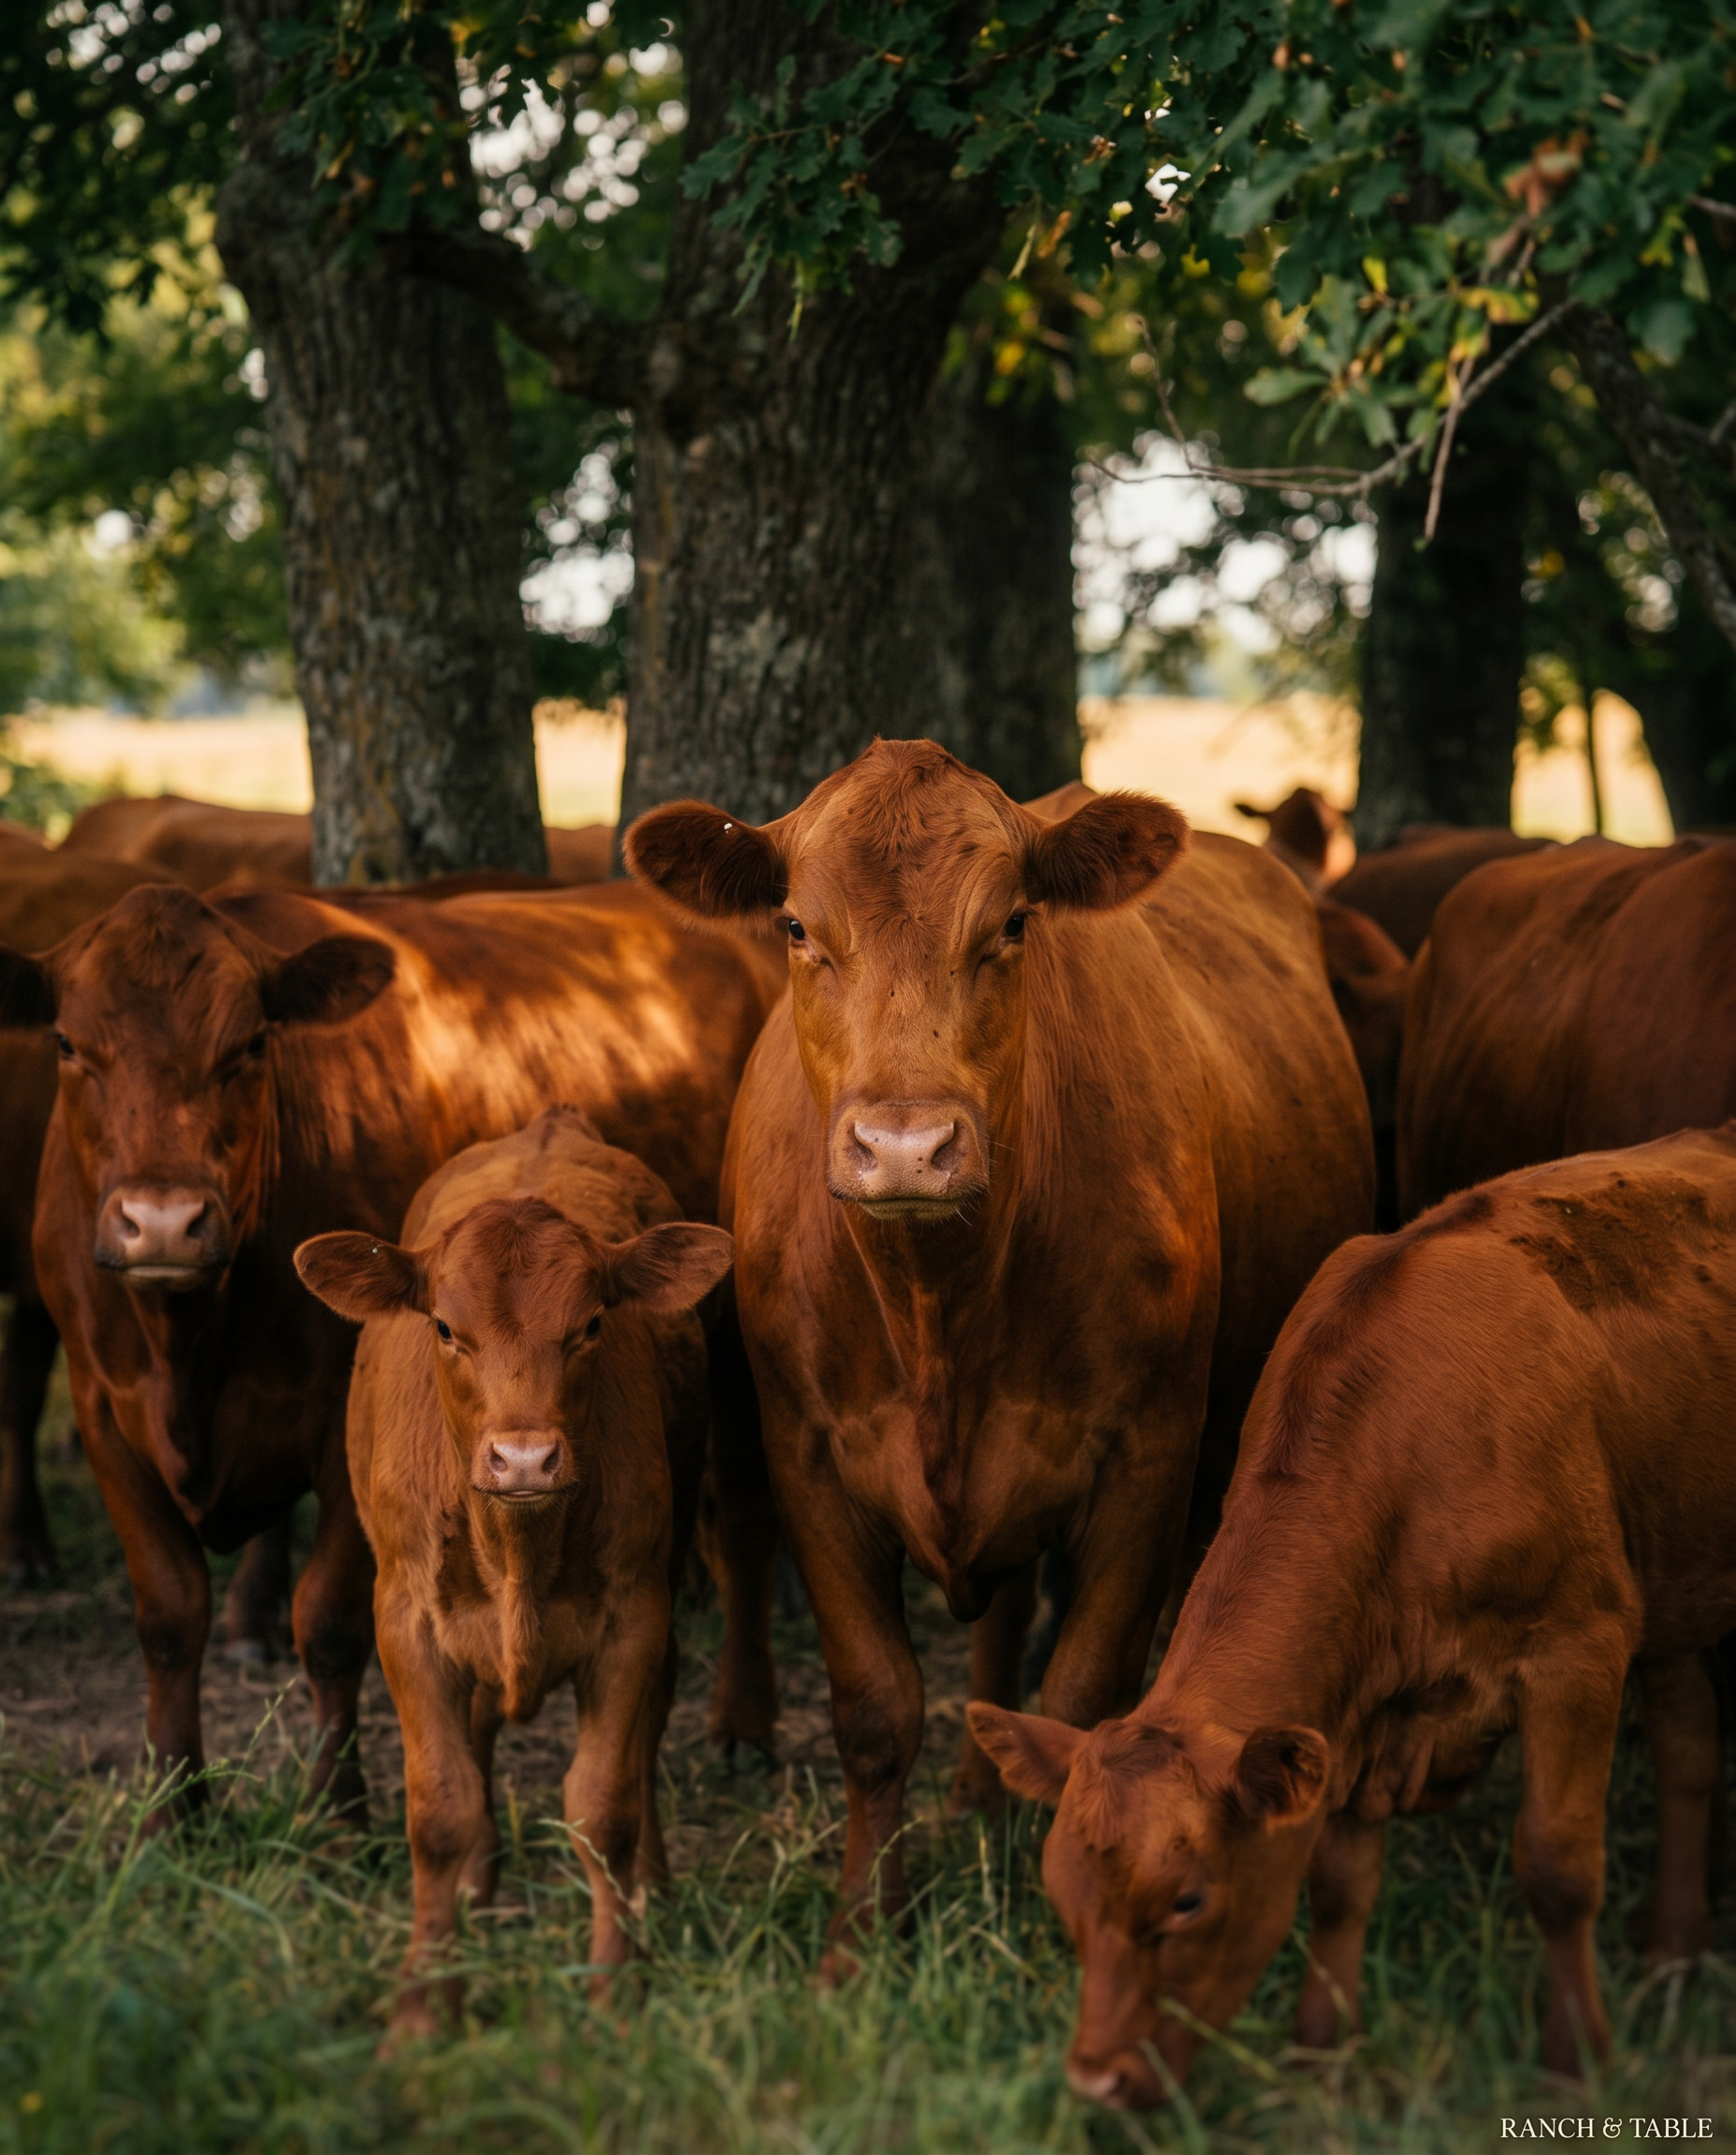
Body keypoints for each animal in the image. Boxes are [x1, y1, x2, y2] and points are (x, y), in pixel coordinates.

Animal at [0, 878, 777, 1817]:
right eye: (68, 1044)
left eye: (251, 1043)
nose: (161, 1221)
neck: (189, 1341)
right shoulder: (102, 1409)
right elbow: (169, 1617)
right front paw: (173, 1809)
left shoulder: (343, 1423)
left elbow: (331, 1624)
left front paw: (337, 1808)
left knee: (744, 1519)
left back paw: (743, 1722)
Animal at [295, 1108, 733, 2031]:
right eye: (444, 1328)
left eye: (593, 1324)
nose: (524, 1459)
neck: (519, 1548)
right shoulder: (407, 1620)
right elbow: (441, 1808)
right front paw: (424, 2005)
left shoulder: (633, 1617)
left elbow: (604, 1805)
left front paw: (615, 1986)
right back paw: (480, 1890)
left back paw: (652, 1890)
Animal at [625, 738, 1373, 1953]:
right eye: (795, 925)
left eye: (1013, 923)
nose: (904, 1146)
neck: (937, 1308)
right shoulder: (809, 1456)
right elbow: (874, 1706)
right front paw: (859, 1936)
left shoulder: (1146, 1456)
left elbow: (1079, 1697)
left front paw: (1041, 1916)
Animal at [973, 1126, 1736, 2101]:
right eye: (1063, 1900)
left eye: (1188, 1900)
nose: (1094, 2082)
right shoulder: (1350, 1710)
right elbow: (1337, 1880)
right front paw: (1321, 2051)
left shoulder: (1580, 1647)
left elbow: (1558, 1866)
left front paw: (1578, 2062)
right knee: (1688, 1741)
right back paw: (1674, 1943)